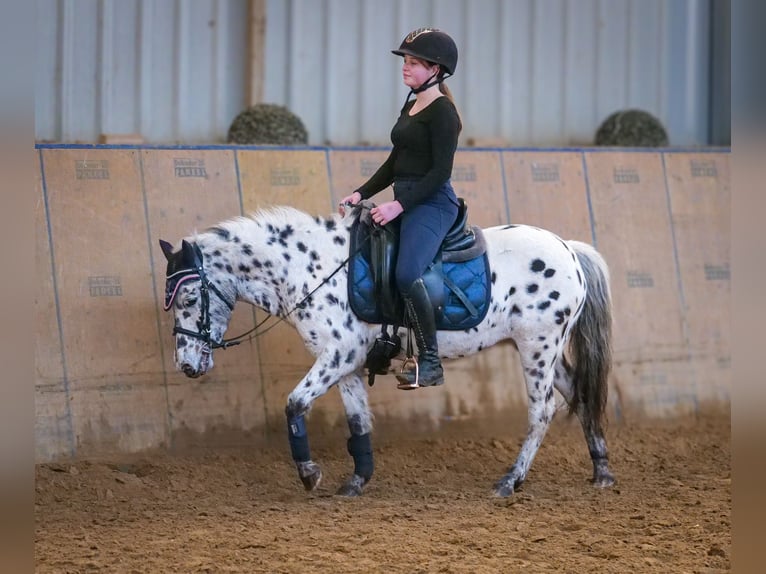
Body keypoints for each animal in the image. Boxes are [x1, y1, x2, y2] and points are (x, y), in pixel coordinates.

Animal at [160, 207, 616, 500]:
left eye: (188, 298)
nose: (186, 366)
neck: (310, 269)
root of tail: (569, 249)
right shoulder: (345, 365)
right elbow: (358, 421)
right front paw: (356, 482)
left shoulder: (338, 355)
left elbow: (294, 404)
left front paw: (310, 475)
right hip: (548, 352)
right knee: (580, 394)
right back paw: (602, 472)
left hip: (537, 346)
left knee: (542, 410)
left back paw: (509, 481)